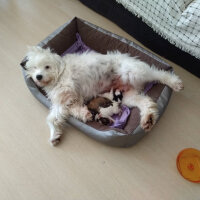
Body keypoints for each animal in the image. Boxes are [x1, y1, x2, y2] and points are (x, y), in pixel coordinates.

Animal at [22, 46, 184, 145]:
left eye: (47, 66)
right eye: (34, 68)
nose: (38, 76)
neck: (59, 74)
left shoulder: (69, 90)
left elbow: (63, 107)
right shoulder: (63, 101)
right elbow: (54, 117)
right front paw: (56, 133)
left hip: (133, 72)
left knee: (156, 73)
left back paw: (173, 82)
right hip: (128, 96)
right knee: (146, 102)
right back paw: (148, 119)